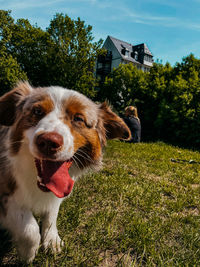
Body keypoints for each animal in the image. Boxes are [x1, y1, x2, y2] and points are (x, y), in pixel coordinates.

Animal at [0, 82, 130, 264]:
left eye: (78, 118)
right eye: (37, 111)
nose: (49, 141)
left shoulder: (55, 196)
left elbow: (51, 215)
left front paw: (52, 240)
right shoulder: (6, 192)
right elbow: (29, 228)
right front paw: (28, 253)